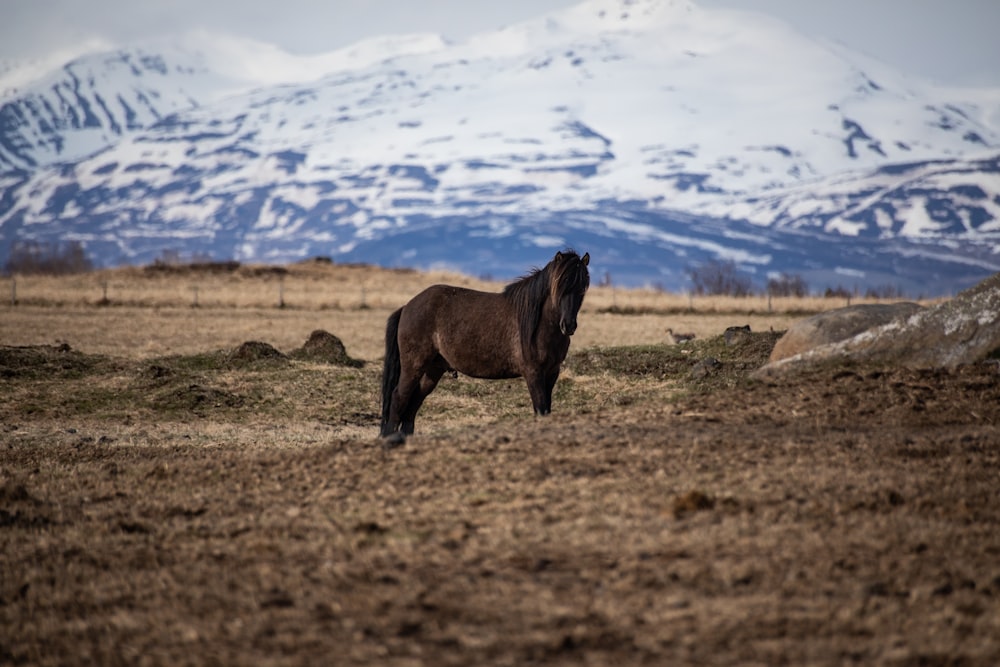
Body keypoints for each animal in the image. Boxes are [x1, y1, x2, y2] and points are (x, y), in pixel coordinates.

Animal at [380, 250, 584, 438]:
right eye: (560, 286)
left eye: (582, 288)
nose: (568, 325)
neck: (539, 323)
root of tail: (407, 307)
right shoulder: (533, 374)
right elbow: (540, 409)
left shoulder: (551, 373)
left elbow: (546, 409)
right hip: (413, 367)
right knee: (399, 398)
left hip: (432, 370)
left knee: (413, 403)